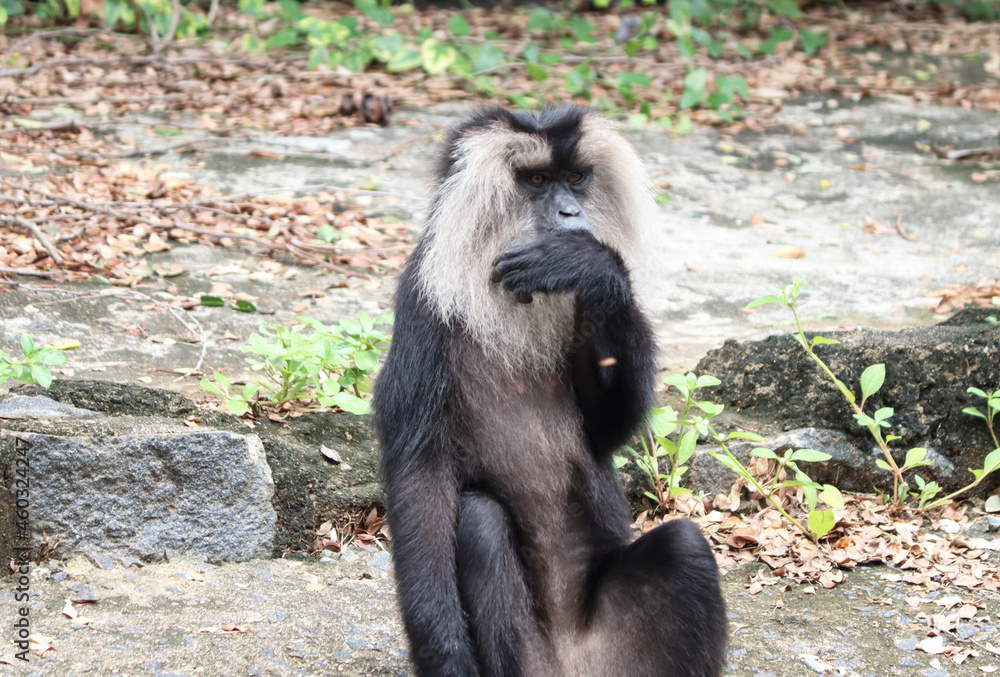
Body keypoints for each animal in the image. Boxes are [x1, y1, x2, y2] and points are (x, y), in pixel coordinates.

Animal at [373, 104, 727, 677]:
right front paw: (444, 655)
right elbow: (420, 477)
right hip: (527, 655)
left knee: (684, 542)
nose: (568, 212)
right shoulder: (423, 312)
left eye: (575, 178)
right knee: (479, 520)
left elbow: (607, 433)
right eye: (537, 181)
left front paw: (592, 266)